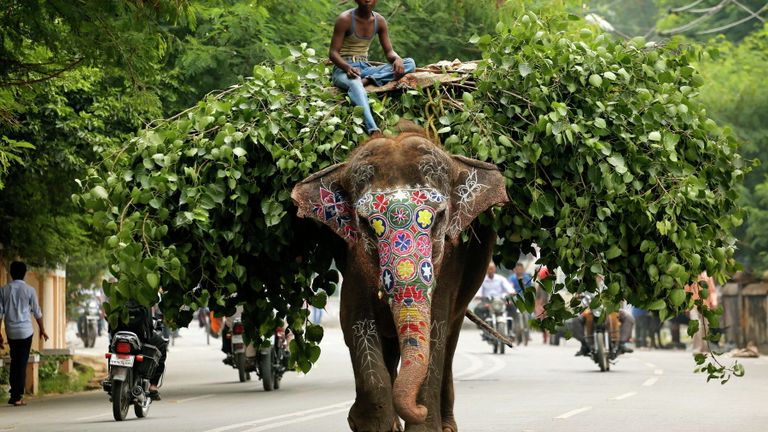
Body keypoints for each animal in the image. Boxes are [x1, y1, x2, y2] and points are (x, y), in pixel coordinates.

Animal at [292, 122, 509, 431]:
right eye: (366, 223)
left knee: (450, 339)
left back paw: (446, 425)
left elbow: (436, 330)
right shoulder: (353, 258)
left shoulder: (451, 259)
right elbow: (355, 321)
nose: (417, 407)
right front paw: (367, 423)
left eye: (439, 217)